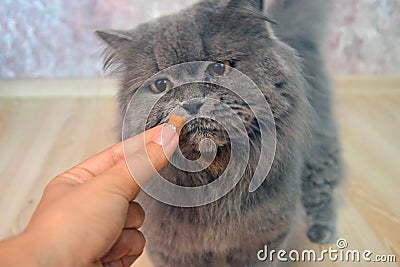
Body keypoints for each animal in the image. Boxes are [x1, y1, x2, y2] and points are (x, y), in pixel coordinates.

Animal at [96, 0, 344, 266]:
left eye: (218, 68)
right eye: (161, 85)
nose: (192, 102)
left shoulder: (264, 241)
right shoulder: (169, 249)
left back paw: (322, 231)